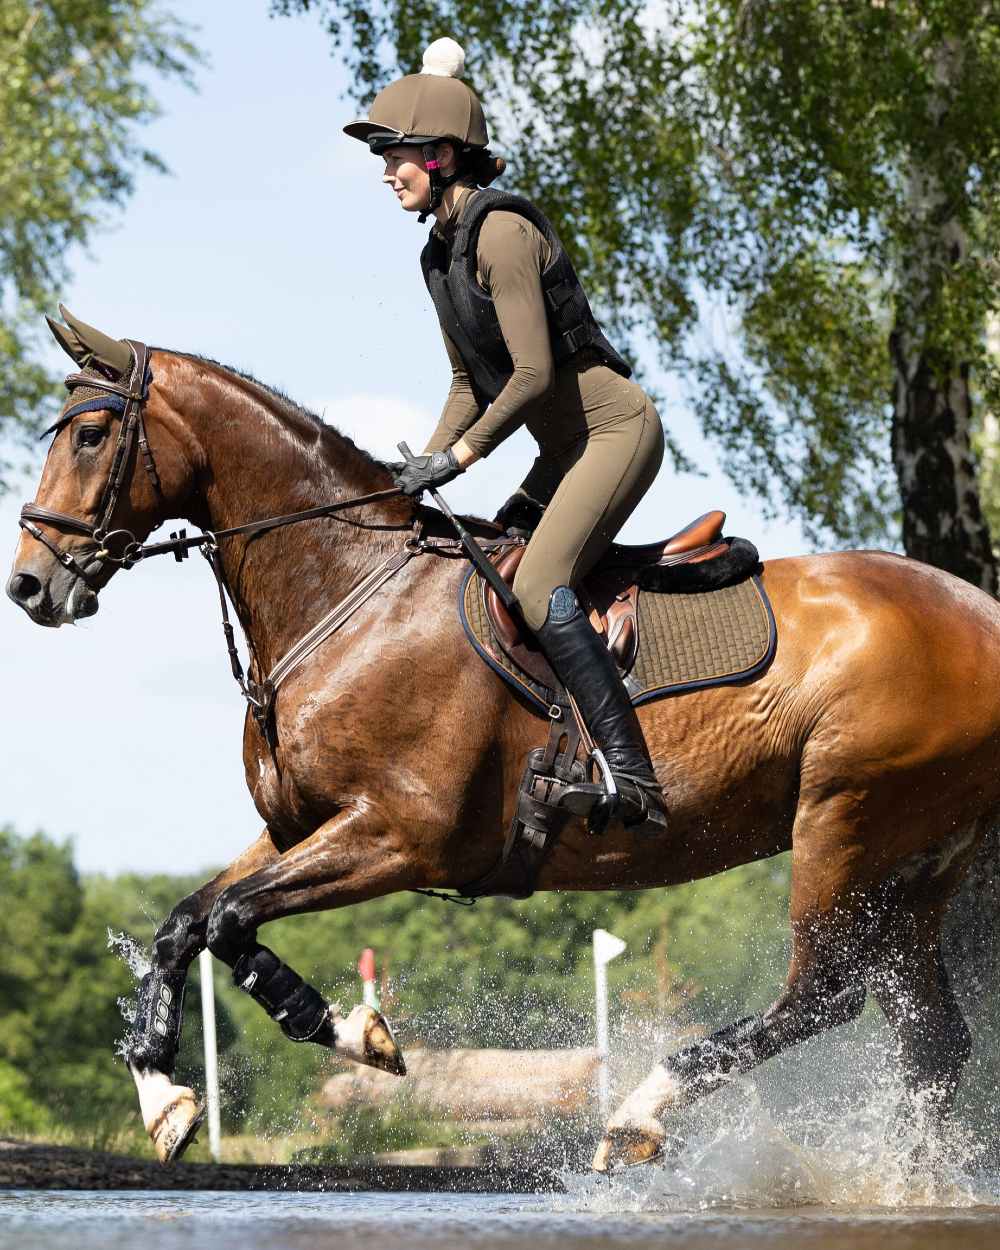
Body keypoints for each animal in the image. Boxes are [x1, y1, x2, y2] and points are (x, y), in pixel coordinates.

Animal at [7, 315, 1000, 1170]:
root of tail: (980, 611)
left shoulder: (399, 836)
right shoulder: (300, 829)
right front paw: (185, 1090)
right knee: (932, 1041)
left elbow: (222, 919)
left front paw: (322, 1039)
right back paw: (906, 1185)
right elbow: (193, 921)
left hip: (847, 823)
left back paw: (641, 1114)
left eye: (88, 435)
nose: (29, 585)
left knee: (822, 996)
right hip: (913, 865)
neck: (349, 589)